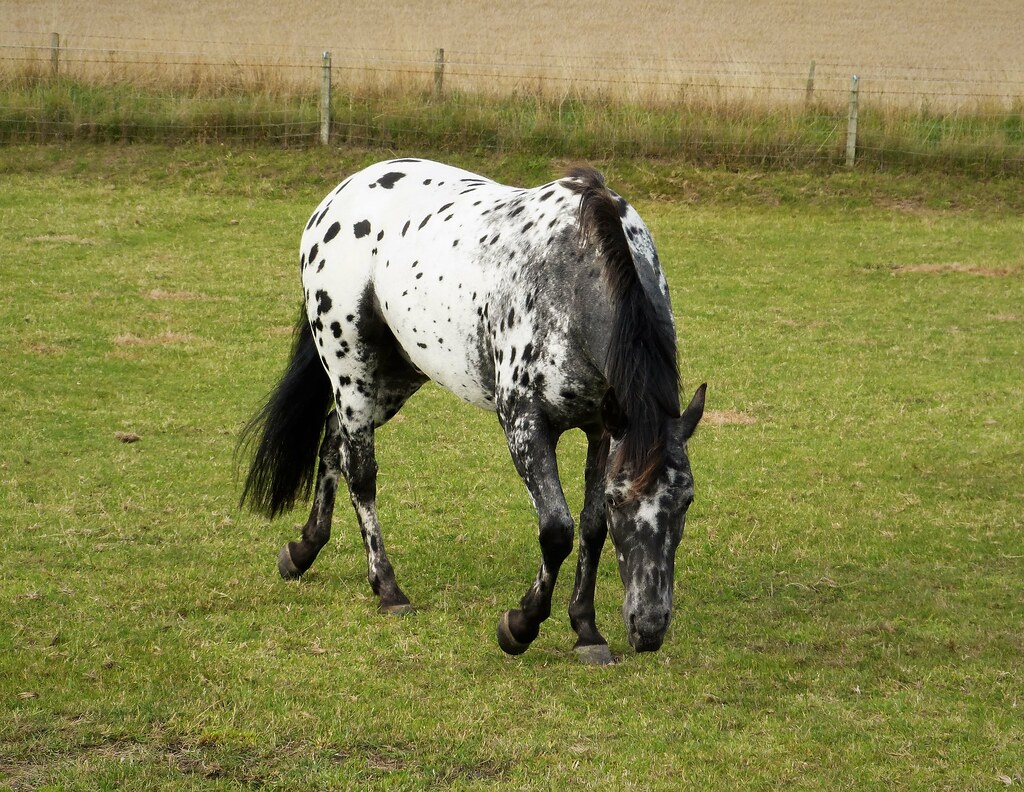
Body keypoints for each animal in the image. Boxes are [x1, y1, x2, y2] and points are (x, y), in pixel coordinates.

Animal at [238, 155, 704, 659]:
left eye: (687, 499)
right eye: (622, 499)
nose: (649, 627)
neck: (572, 274)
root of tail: (338, 197)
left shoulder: (602, 428)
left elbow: (591, 526)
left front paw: (586, 630)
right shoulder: (523, 422)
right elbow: (557, 529)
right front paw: (520, 625)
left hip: (398, 374)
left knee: (333, 438)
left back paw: (303, 550)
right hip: (350, 366)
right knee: (359, 470)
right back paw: (388, 590)